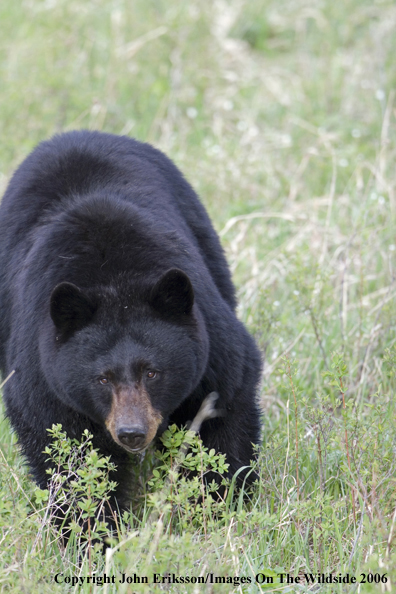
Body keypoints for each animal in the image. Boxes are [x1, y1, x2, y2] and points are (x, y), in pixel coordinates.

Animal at [0, 132, 262, 512]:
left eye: (152, 372)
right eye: (102, 378)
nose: (132, 433)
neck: (115, 281)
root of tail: (78, 133)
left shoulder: (212, 345)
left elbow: (224, 418)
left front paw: (218, 504)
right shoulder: (42, 370)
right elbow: (64, 451)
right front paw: (89, 524)